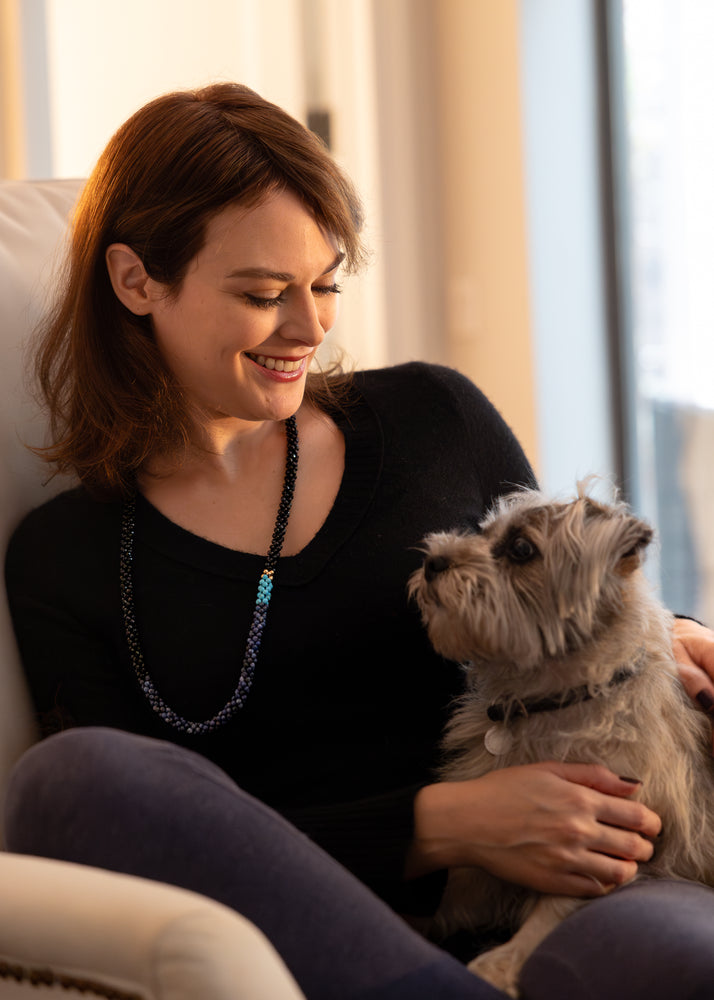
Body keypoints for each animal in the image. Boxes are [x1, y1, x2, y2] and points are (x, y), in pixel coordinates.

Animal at [406, 482, 712, 992]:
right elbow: (456, 890)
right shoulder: (484, 866)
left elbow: (552, 911)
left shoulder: (620, 842)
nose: (434, 560)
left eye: (521, 549)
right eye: (483, 532)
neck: (551, 700)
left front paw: (503, 960)